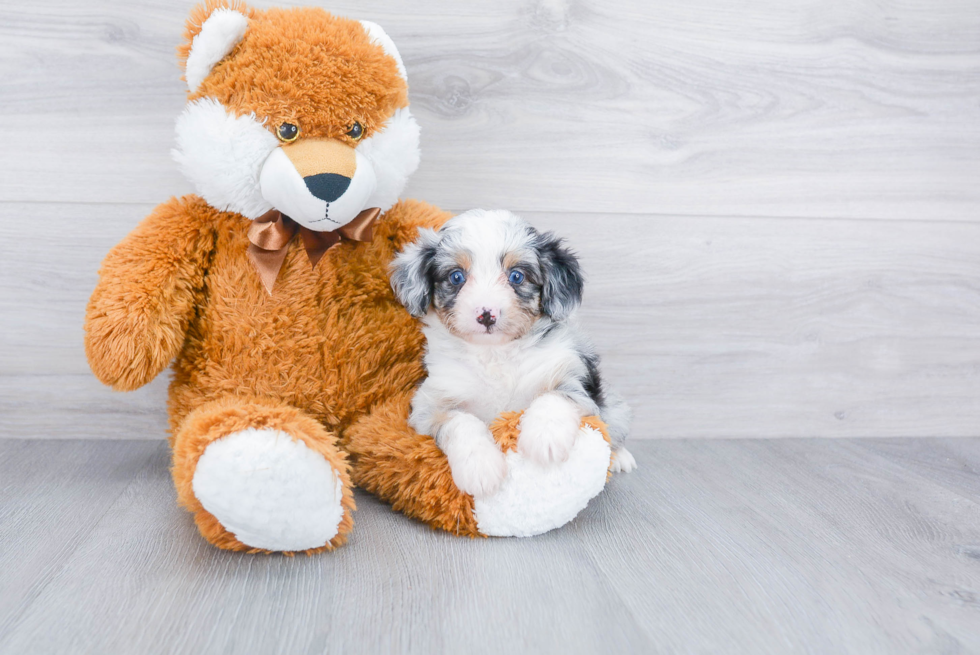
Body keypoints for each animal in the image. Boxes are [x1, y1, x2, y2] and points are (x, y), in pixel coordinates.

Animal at [390, 210, 636, 498]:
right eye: (456, 277)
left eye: (516, 276)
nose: (486, 314)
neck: (495, 353)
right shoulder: (429, 405)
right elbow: (461, 421)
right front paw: (480, 467)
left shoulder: (574, 380)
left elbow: (554, 397)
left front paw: (544, 438)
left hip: (614, 404)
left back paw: (620, 457)